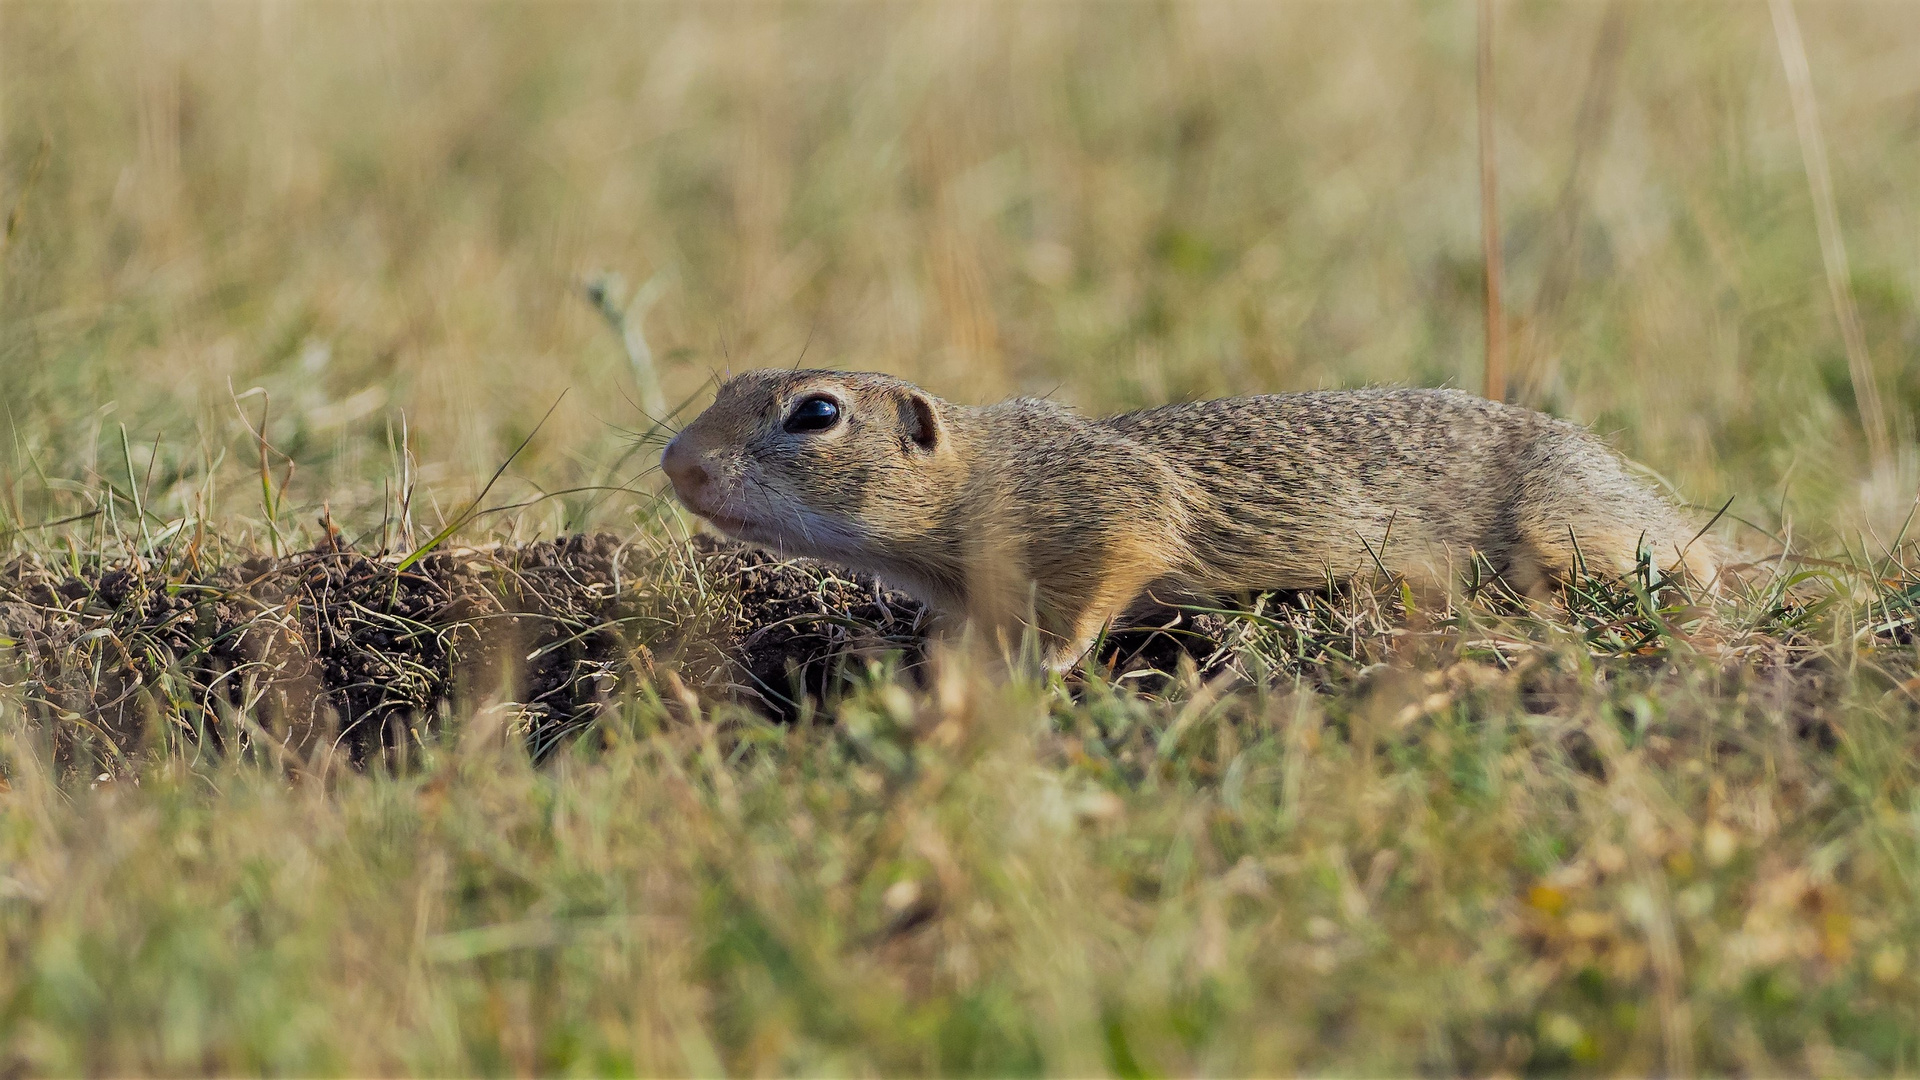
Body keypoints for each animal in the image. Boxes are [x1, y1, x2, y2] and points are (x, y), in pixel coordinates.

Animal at [660, 374, 1712, 668]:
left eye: (817, 413)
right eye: (724, 383)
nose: (676, 461)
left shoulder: (1103, 521)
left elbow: (1098, 594)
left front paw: (1040, 663)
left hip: (1570, 524)